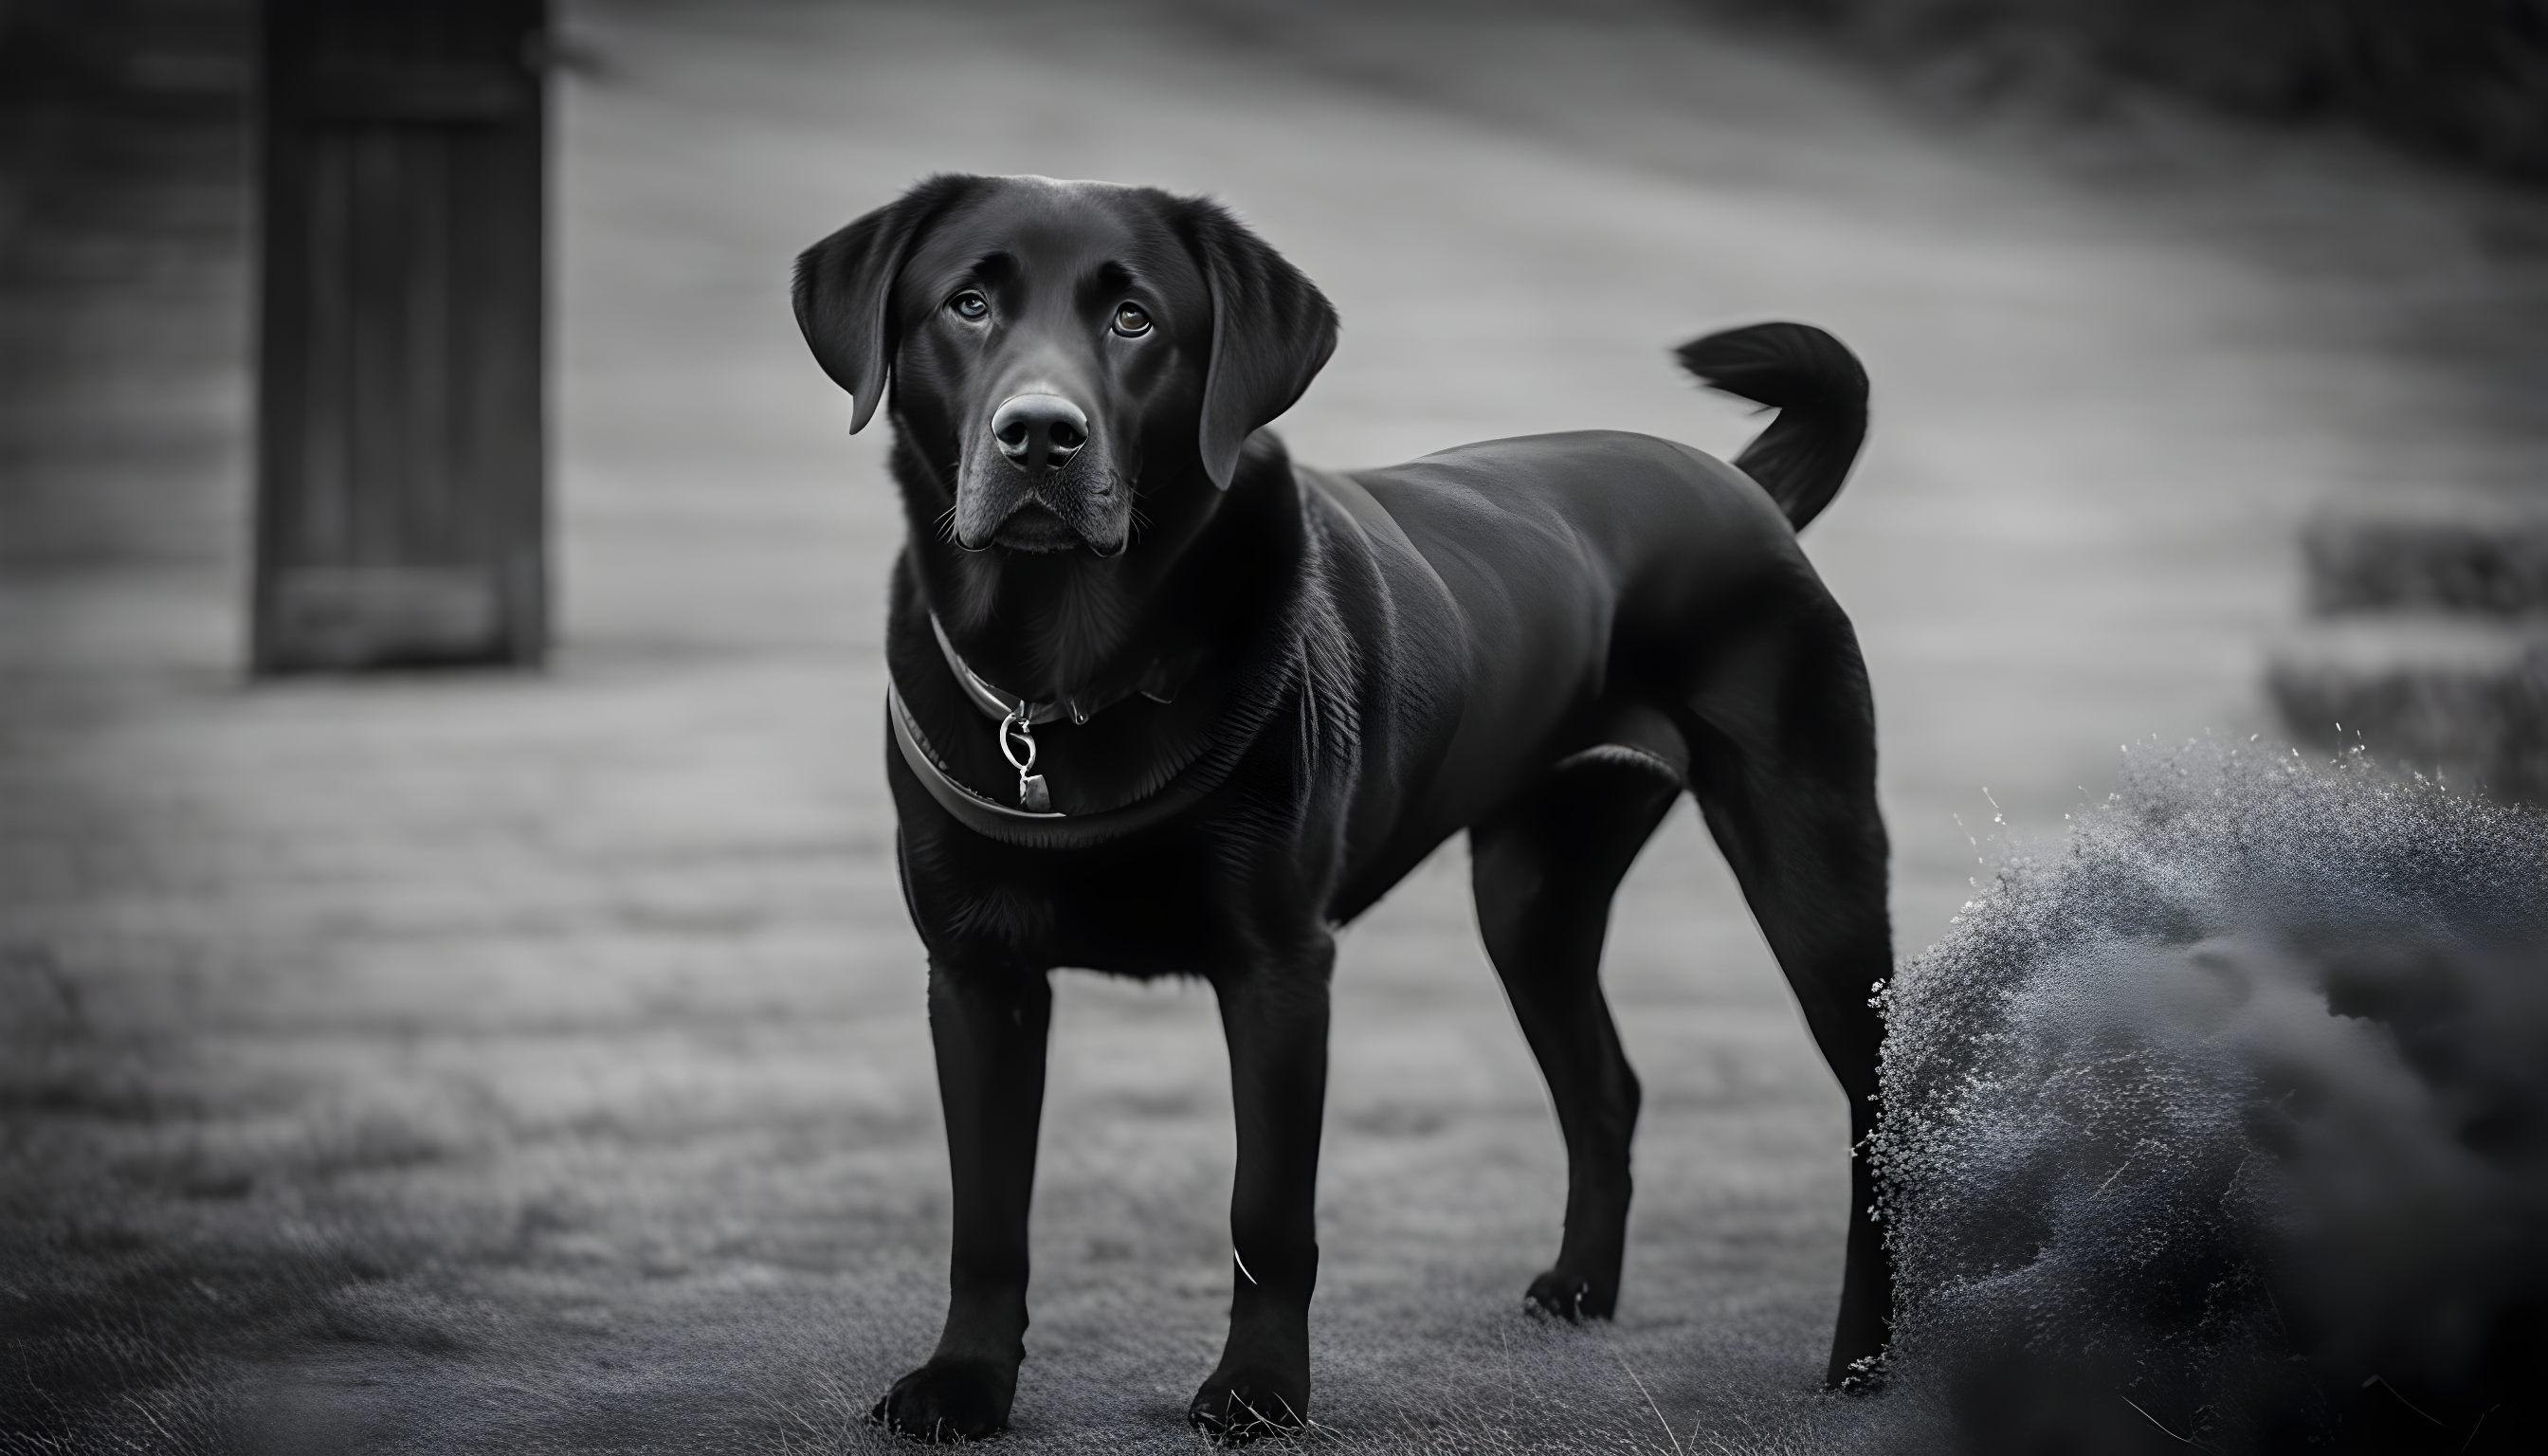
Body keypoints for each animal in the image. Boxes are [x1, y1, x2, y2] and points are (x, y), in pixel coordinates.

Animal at [794, 176, 1895, 1438]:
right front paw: (963, 1383)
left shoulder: (1279, 969)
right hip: (1531, 897)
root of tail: (1749, 488)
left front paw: (1258, 1390)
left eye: (1135, 321)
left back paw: (1865, 1359)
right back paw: (1580, 1291)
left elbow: (1266, 1210)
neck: (1065, 671)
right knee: (1605, 1088)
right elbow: (986, 1216)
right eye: (967, 304)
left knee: (1878, 1111)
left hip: (1814, 872)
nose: (1038, 433)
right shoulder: (977, 974)